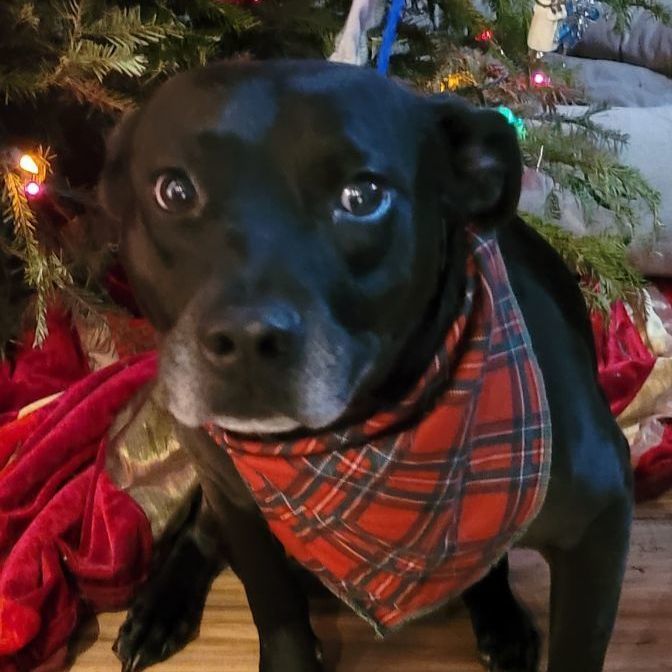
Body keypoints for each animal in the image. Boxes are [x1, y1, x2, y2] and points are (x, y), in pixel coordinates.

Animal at [97, 60, 632, 668]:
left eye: (363, 196)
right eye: (174, 190)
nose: (247, 337)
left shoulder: (599, 525)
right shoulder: (236, 502)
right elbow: (275, 611)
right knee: (199, 531)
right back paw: (159, 606)